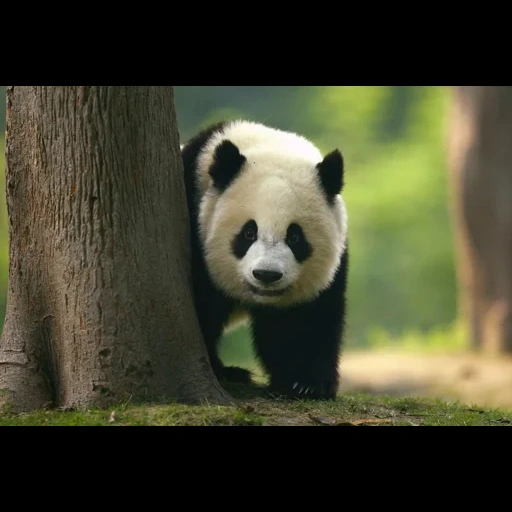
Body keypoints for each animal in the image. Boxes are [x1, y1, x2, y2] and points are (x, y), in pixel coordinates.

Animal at [179, 120, 348, 400]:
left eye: (295, 237)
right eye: (249, 232)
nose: (266, 275)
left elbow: (305, 320)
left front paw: (306, 383)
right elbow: (203, 307)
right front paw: (219, 370)